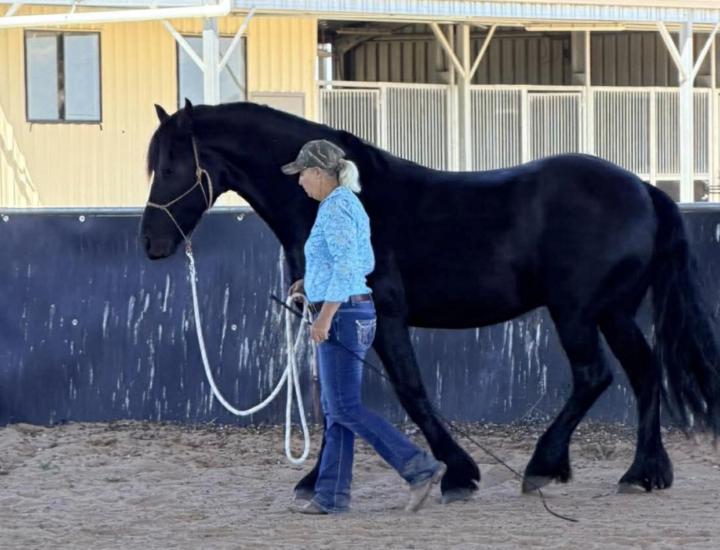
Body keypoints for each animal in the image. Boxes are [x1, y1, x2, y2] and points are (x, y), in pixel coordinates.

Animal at [141, 98, 720, 503]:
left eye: (170, 168)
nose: (151, 243)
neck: (344, 199)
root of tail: (646, 190)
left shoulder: (385, 316)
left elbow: (409, 391)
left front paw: (458, 474)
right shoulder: (336, 322)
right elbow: (335, 402)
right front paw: (313, 481)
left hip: (577, 313)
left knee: (594, 376)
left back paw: (544, 466)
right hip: (614, 313)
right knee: (645, 374)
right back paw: (643, 474)